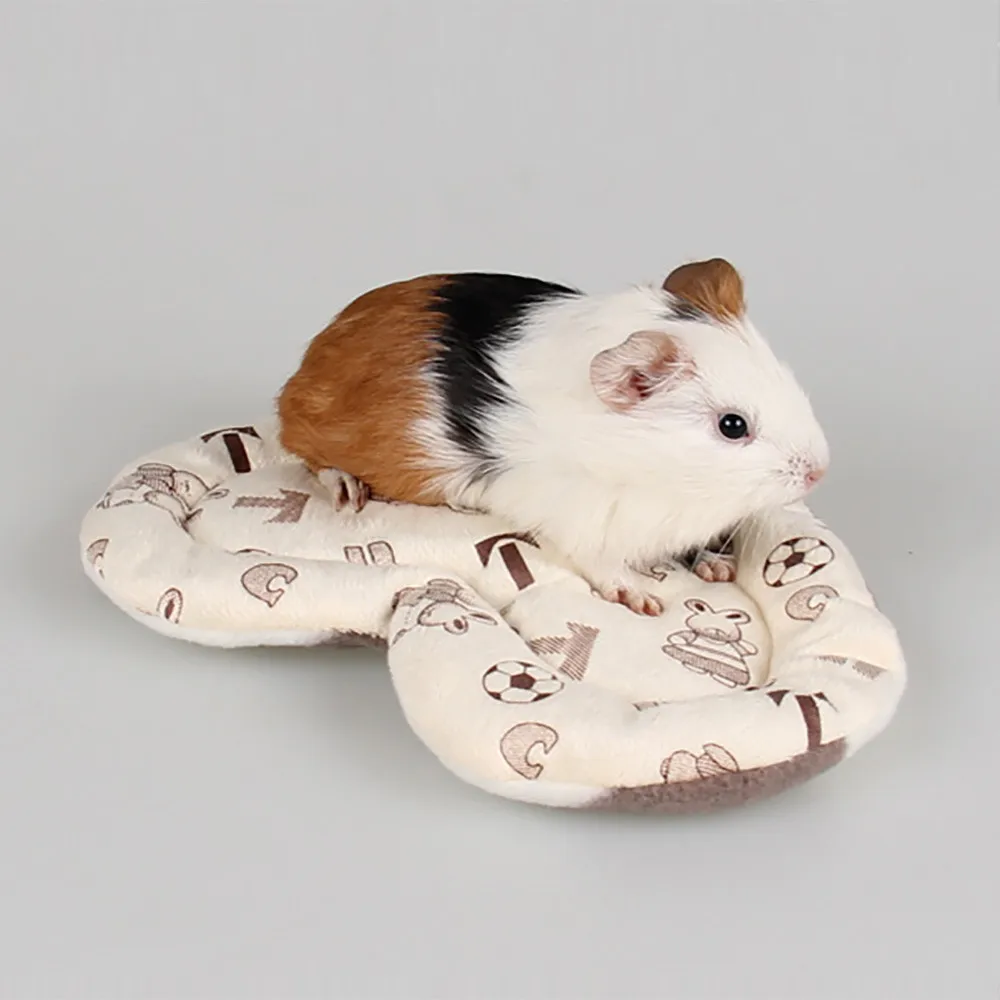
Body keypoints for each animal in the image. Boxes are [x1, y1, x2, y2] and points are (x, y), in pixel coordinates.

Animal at [277, 258, 829, 616]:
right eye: (732, 425)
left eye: (784, 374)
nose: (818, 470)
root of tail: (309, 361)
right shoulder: (582, 522)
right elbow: (603, 563)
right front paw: (643, 601)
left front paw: (718, 570)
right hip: (316, 434)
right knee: (309, 456)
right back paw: (349, 493)